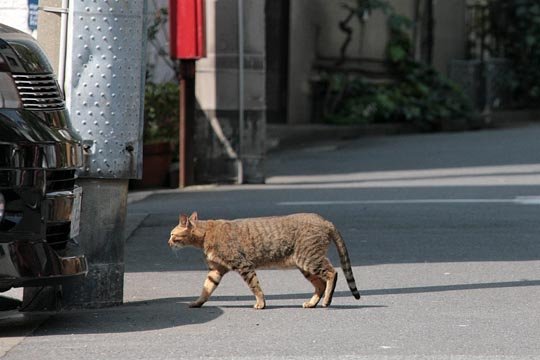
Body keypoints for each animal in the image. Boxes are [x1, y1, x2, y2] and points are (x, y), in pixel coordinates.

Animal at [167, 211, 360, 310]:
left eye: (172, 234)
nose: (168, 242)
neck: (205, 234)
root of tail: (325, 220)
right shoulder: (216, 270)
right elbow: (206, 289)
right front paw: (197, 302)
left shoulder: (244, 265)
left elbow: (255, 286)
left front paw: (261, 303)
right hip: (305, 265)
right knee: (320, 284)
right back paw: (312, 303)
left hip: (309, 259)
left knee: (332, 273)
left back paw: (327, 301)